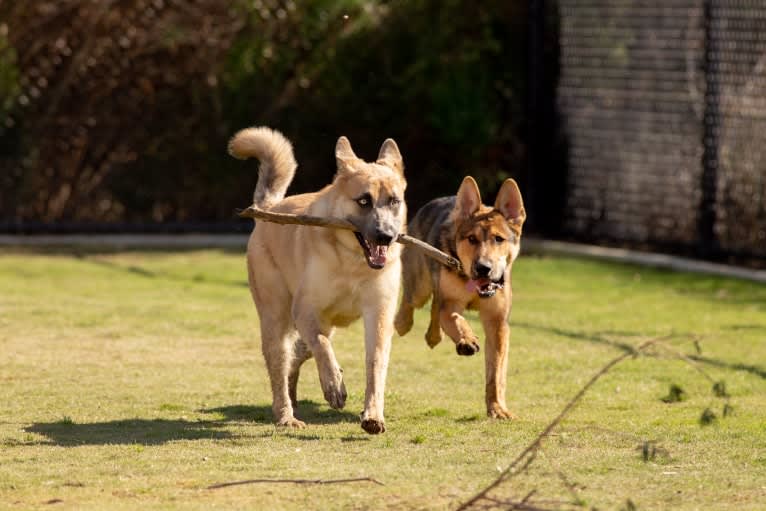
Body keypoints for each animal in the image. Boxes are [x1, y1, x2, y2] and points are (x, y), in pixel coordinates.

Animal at [230, 126, 404, 434]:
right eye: (364, 201)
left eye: (394, 201)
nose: (385, 236)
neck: (352, 262)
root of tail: (269, 207)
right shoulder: (305, 309)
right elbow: (322, 346)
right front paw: (334, 385)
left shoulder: (379, 315)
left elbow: (375, 363)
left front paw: (372, 415)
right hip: (277, 318)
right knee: (283, 363)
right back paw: (286, 415)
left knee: (297, 356)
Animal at [396, 178, 528, 418]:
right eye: (472, 239)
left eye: (499, 239)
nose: (483, 268)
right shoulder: (451, 305)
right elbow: (457, 319)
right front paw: (466, 340)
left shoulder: (497, 323)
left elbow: (496, 373)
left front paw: (497, 409)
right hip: (420, 286)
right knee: (412, 301)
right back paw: (403, 322)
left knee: (434, 308)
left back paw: (433, 336)